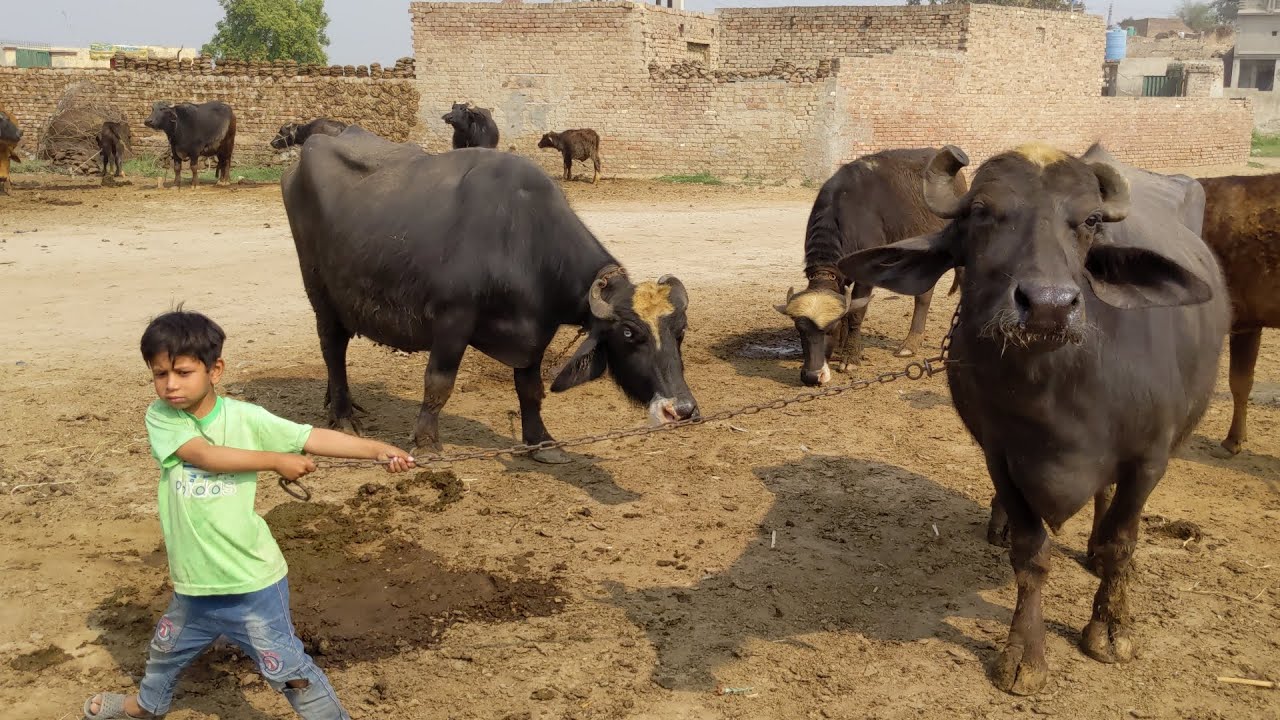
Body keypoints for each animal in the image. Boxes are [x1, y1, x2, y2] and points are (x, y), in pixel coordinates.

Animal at [281, 127, 699, 464]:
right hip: (319, 290)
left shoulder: (535, 334)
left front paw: (542, 443)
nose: (681, 410)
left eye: (679, 332)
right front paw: (426, 443)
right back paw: (343, 416)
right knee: (333, 347)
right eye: (629, 333)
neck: (520, 237)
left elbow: (530, 391)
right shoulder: (452, 319)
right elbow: (438, 383)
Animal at [775, 149, 966, 386]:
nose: (812, 376)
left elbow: (857, 313)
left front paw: (850, 358)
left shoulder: (864, 275)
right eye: (799, 330)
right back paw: (911, 343)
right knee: (924, 294)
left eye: (829, 330)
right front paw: (843, 347)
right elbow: (848, 309)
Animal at [837, 142, 1228, 695]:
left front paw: (1109, 630)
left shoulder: (1148, 461)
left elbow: (1121, 545)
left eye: (1089, 219)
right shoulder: (1001, 455)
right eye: (982, 212)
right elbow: (1030, 555)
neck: (1056, 391)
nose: (1048, 306)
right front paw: (1024, 655)